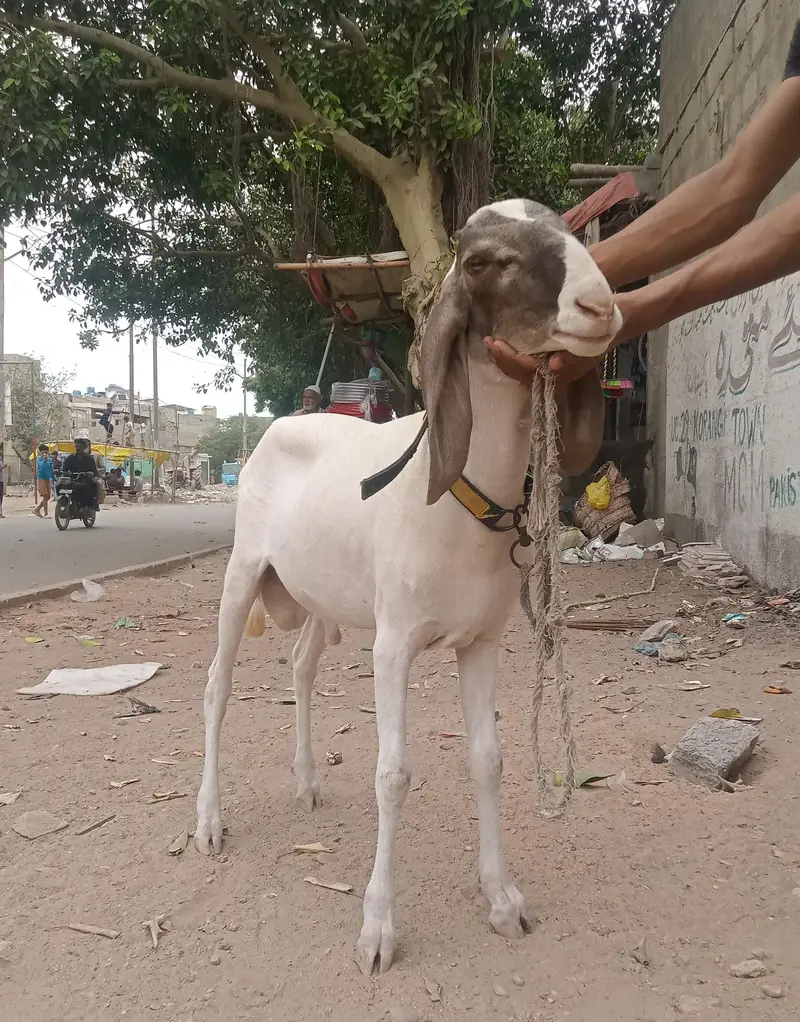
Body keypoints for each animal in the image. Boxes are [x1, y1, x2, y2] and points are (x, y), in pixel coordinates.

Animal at [195, 198, 622, 975]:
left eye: (570, 231)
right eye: (482, 260)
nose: (599, 305)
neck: (458, 495)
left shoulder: (481, 642)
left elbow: (489, 760)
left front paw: (502, 899)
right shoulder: (392, 645)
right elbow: (393, 775)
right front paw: (377, 929)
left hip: (321, 597)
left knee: (301, 666)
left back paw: (306, 780)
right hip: (243, 574)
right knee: (217, 687)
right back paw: (210, 819)